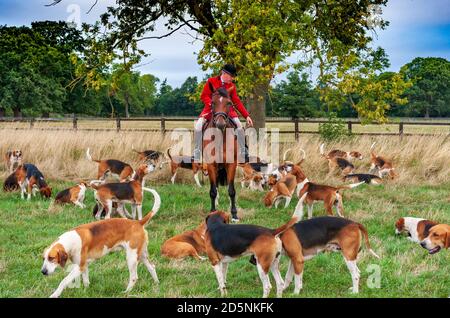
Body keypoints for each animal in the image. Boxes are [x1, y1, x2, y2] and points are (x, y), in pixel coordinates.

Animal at [202, 85, 241, 222]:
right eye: (212, 103)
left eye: (229, 103)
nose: (220, 124)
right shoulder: (211, 165)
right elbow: (213, 191)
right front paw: (212, 212)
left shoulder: (231, 164)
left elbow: (231, 190)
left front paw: (234, 214)